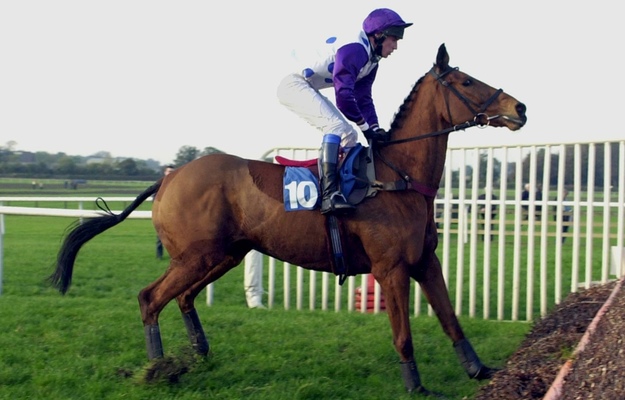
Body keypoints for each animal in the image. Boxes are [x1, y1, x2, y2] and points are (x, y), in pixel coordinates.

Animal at [50, 43, 528, 394]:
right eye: (466, 81)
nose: (519, 108)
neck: (396, 177)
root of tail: (169, 176)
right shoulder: (390, 268)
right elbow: (403, 334)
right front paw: (417, 387)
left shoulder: (425, 261)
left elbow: (450, 318)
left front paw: (480, 370)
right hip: (195, 256)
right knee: (151, 298)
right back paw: (159, 370)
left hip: (223, 255)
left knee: (184, 298)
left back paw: (199, 356)